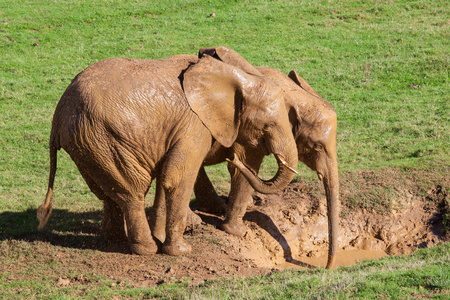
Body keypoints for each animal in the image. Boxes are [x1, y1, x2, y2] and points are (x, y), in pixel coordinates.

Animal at [37, 49, 300, 258]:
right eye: (268, 125)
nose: (232, 158)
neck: (234, 77)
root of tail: (58, 116)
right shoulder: (195, 124)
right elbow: (177, 177)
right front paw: (181, 251)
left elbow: (167, 176)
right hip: (102, 138)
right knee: (132, 191)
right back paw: (147, 249)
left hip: (89, 145)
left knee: (109, 191)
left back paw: (117, 241)